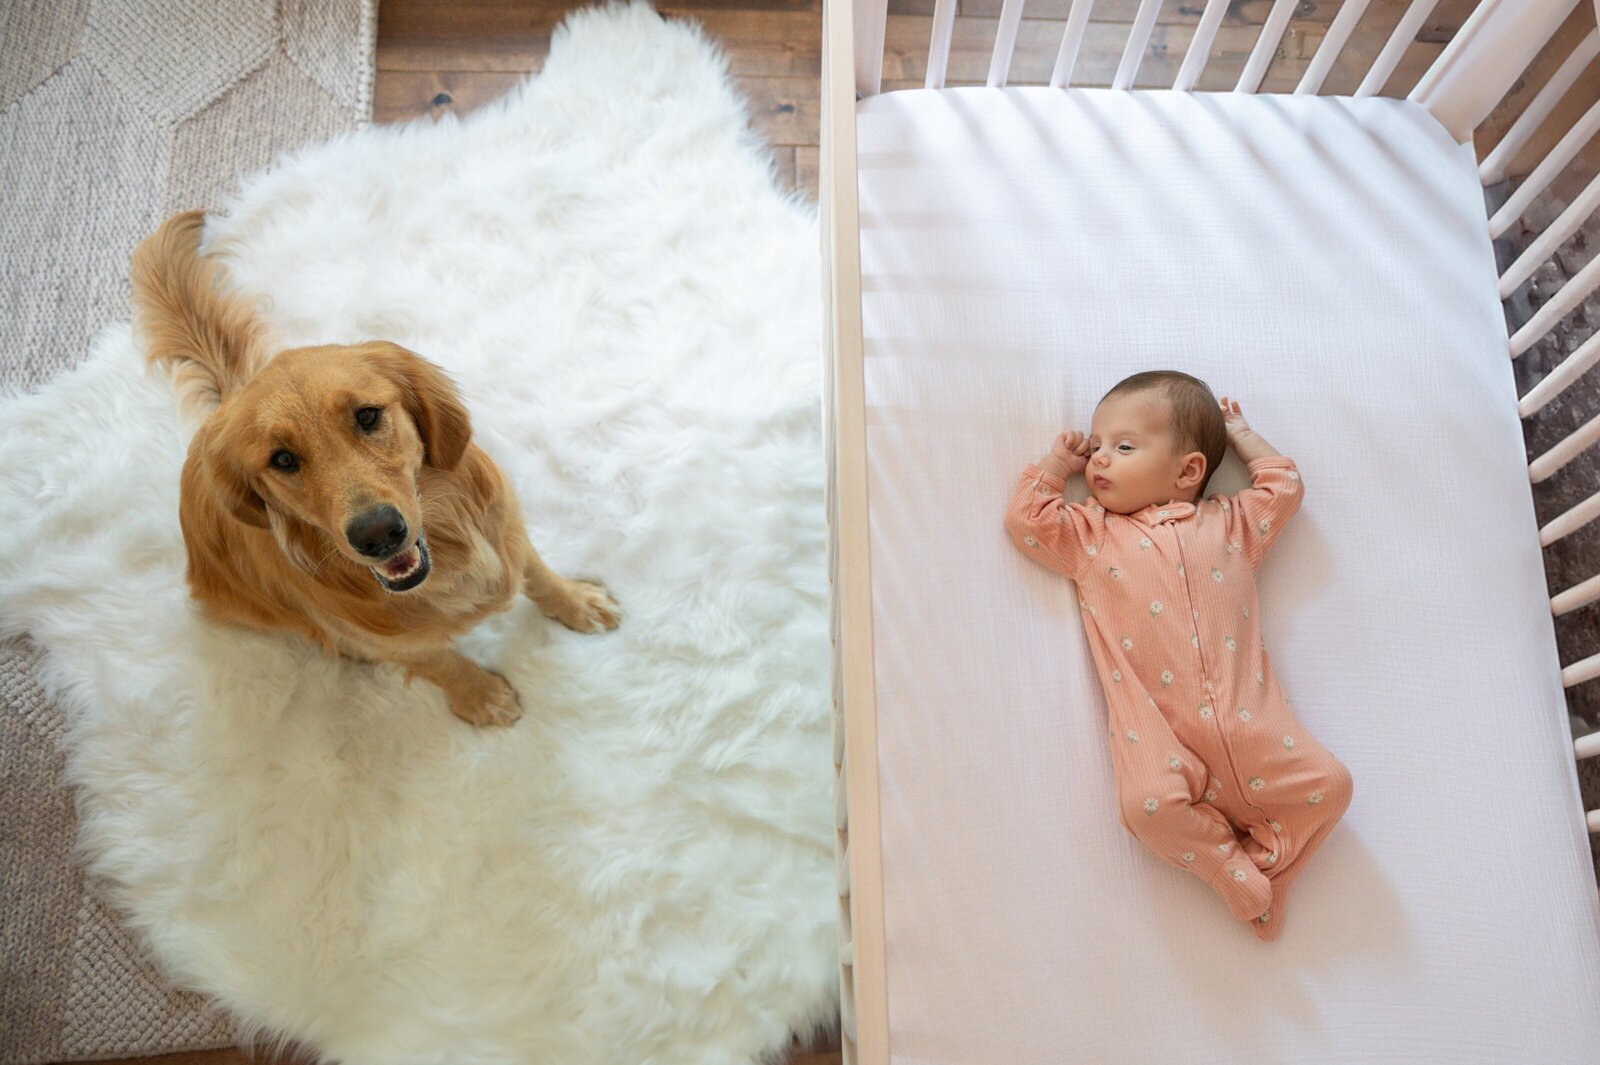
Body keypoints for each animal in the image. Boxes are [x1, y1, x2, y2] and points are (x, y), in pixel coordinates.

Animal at [131, 209, 620, 722]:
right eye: (282, 459)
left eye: (367, 416)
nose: (378, 534)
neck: (446, 555)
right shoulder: (381, 638)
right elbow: (439, 661)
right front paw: (482, 697)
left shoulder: (504, 524)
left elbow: (537, 573)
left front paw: (578, 602)